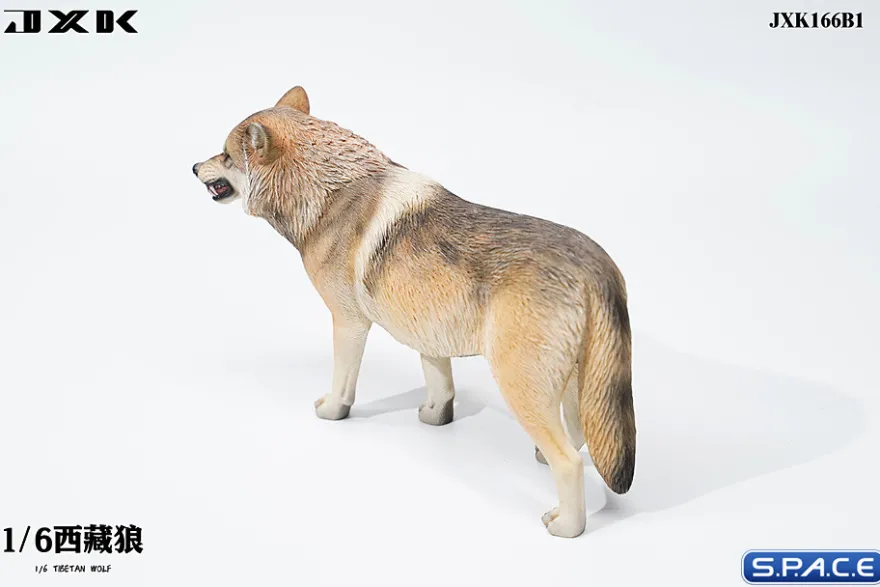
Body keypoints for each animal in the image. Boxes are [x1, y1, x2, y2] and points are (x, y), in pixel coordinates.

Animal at [192, 86, 636, 538]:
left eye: (226, 156)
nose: (193, 167)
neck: (328, 190)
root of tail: (597, 265)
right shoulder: (429, 334)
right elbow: (442, 389)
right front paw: (434, 419)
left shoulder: (349, 324)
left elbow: (343, 384)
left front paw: (333, 411)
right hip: (574, 383)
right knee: (578, 433)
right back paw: (541, 458)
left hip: (521, 385)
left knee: (572, 460)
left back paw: (566, 525)